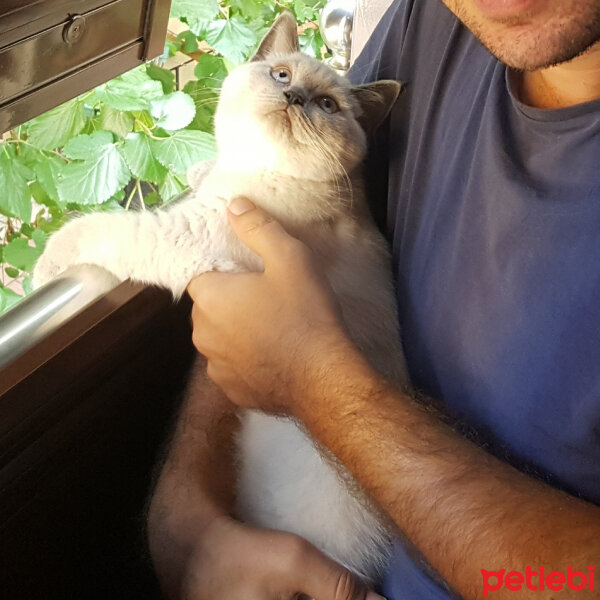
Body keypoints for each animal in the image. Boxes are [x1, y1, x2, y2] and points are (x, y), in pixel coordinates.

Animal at [32, 11, 408, 584]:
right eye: (280, 75)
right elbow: (203, 174)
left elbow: (106, 231)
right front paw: (198, 169)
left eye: (327, 105)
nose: (295, 97)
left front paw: (46, 264)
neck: (254, 167)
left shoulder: (188, 232)